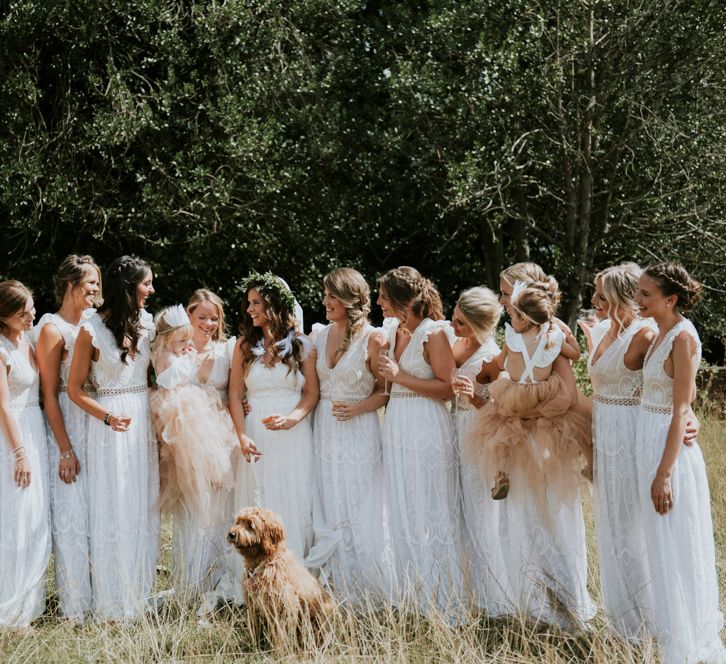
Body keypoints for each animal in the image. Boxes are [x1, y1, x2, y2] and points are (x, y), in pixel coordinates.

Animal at [228, 508, 336, 644]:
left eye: (250, 525)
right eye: (238, 521)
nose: (231, 534)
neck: (264, 561)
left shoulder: (285, 604)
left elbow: (282, 631)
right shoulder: (254, 603)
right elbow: (255, 625)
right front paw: (254, 642)